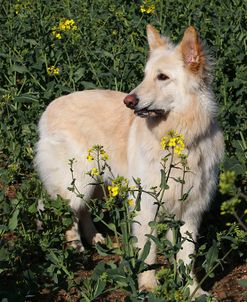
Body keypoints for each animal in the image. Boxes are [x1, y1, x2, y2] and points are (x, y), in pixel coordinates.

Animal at [35, 24, 225, 294]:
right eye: (145, 76)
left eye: (162, 77)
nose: (129, 101)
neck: (180, 138)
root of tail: (49, 108)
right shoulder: (146, 206)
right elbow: (149, 252)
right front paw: (149, 287)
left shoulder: (190, 210)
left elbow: (186, 256)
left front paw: (192, 290)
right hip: (76, 183)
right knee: (68, 214)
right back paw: (77, 249)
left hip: (95, 183)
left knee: (82, 210)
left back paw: (96, 239)